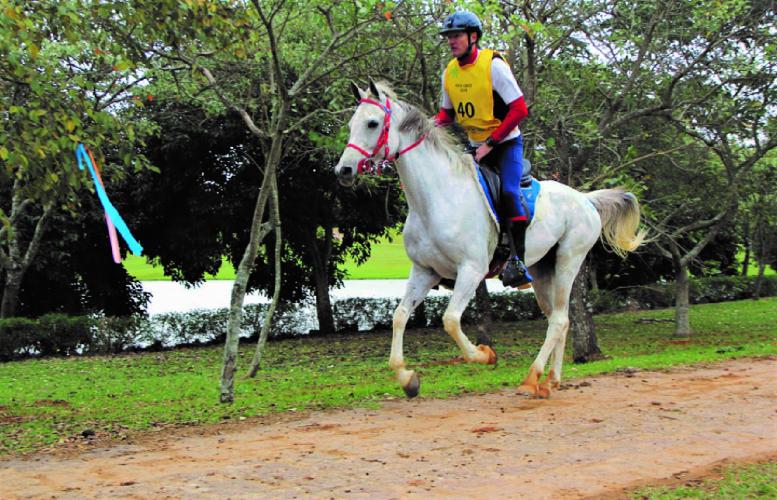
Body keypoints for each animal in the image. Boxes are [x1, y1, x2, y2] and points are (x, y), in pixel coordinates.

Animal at [334, 79, 645, 399]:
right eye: (351, 124)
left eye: (372, 123)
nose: (343, 170)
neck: (436, 199)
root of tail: (585, 199)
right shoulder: (425, 270)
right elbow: (400, 315)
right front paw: (408, 379)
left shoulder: (471, 270)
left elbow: (450, 320)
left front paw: (485, 354)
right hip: (541, 270)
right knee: (560, 319)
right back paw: (550, 380)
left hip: (568, 262)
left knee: (559, 319)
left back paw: (532, 378)